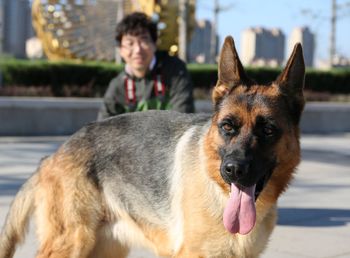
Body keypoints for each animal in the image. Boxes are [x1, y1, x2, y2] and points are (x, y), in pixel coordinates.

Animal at [0, 36, 304, 258]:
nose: (233, 170)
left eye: (268, 130)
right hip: (70, 244)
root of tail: (51, 156)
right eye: (227, 127)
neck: (220, 193)